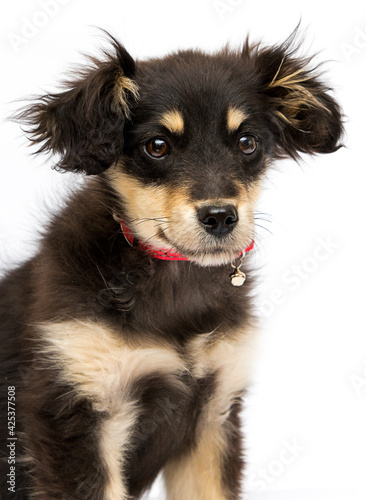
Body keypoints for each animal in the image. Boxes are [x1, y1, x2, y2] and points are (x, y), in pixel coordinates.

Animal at [0, 32, 344, 500]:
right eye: (157, 146)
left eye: (247, 142)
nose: (220, 217)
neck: (173, 281)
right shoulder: (78, 415)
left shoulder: (213, 414)